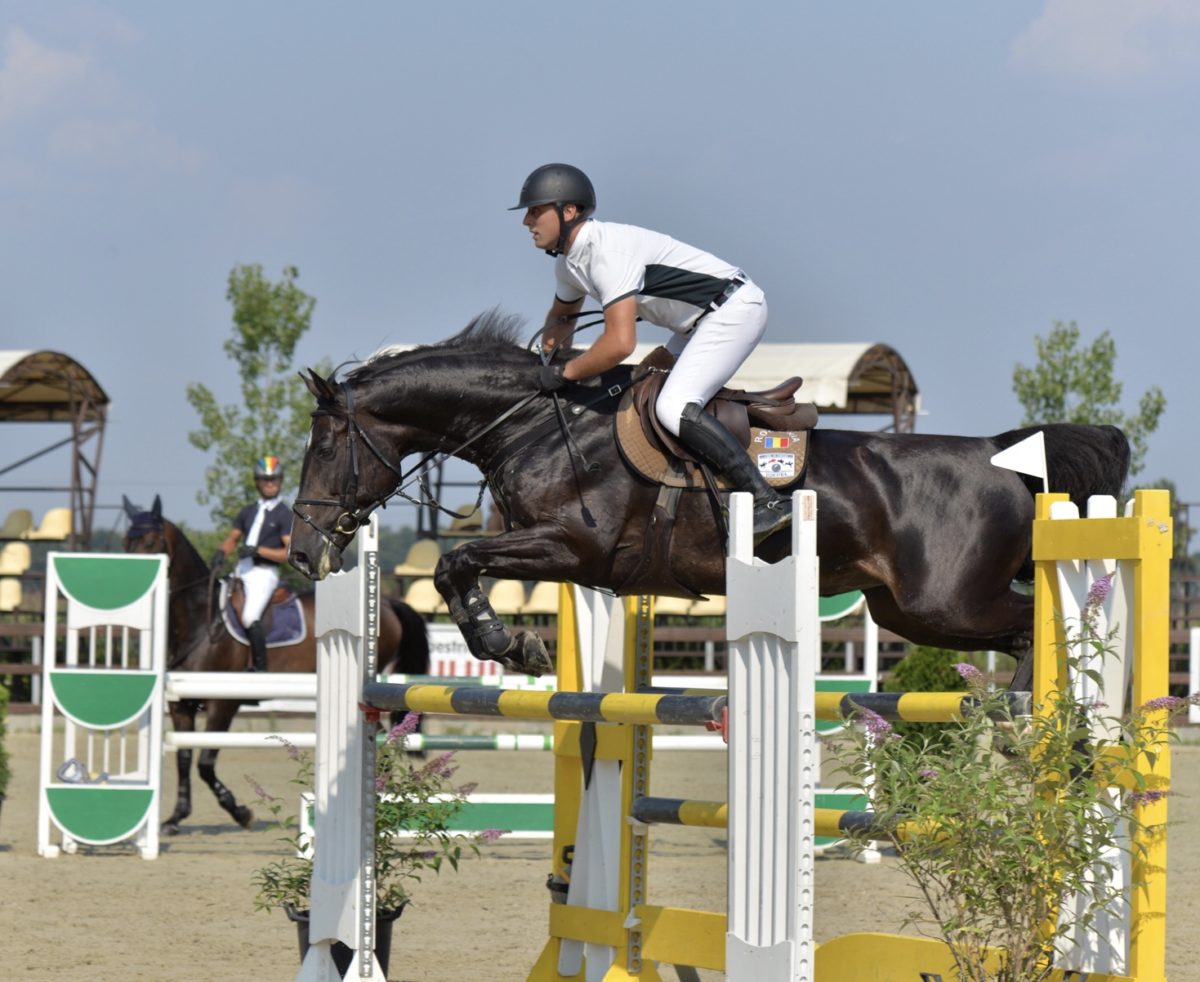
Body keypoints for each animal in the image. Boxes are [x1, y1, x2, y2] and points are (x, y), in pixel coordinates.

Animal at [121, 494, 429, 830]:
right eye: (126, 541)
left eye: (151, 541)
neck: (200, 622)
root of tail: (387, 602)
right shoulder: (180, 705)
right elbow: (184, 758)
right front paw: (177, 816)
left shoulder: (223, 703)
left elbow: (205, 762)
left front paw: (240, 812)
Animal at [285, 312, 1128, 686]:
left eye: (323, 449)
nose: (300, 552)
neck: (537, 422)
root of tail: (999, 455)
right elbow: (459, 567)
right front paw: (512, 643)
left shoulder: (573, 548)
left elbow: (456, 563)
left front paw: (508, 645)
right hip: (909, 614)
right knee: (1017, 632)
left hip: (946, 601)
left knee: (1035, 625)